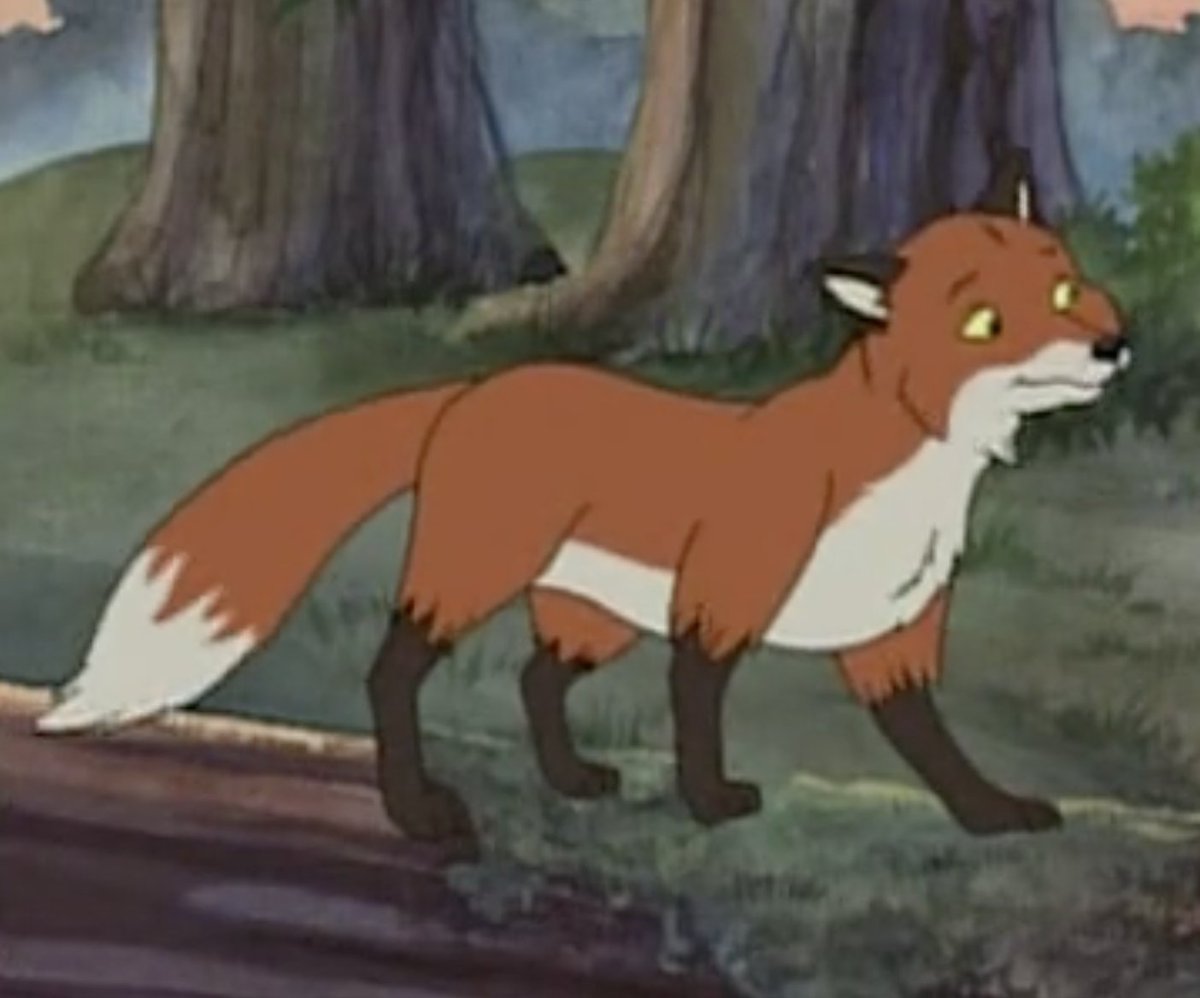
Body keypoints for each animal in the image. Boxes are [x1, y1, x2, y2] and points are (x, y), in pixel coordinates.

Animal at [36, 149, 1129, 850]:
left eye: (1064, 290)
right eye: (984, 323)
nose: (1112, 347)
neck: (910, 481)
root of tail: (480, 388)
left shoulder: (891, 640)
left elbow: (935, 751)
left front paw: (992, 814)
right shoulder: (720, 601)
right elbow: (698, 709)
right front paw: (711, 800)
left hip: (587, 614)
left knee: (534, 681)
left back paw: (569, 779)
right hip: (474, 575)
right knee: (395, 676)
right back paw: (418, 810)